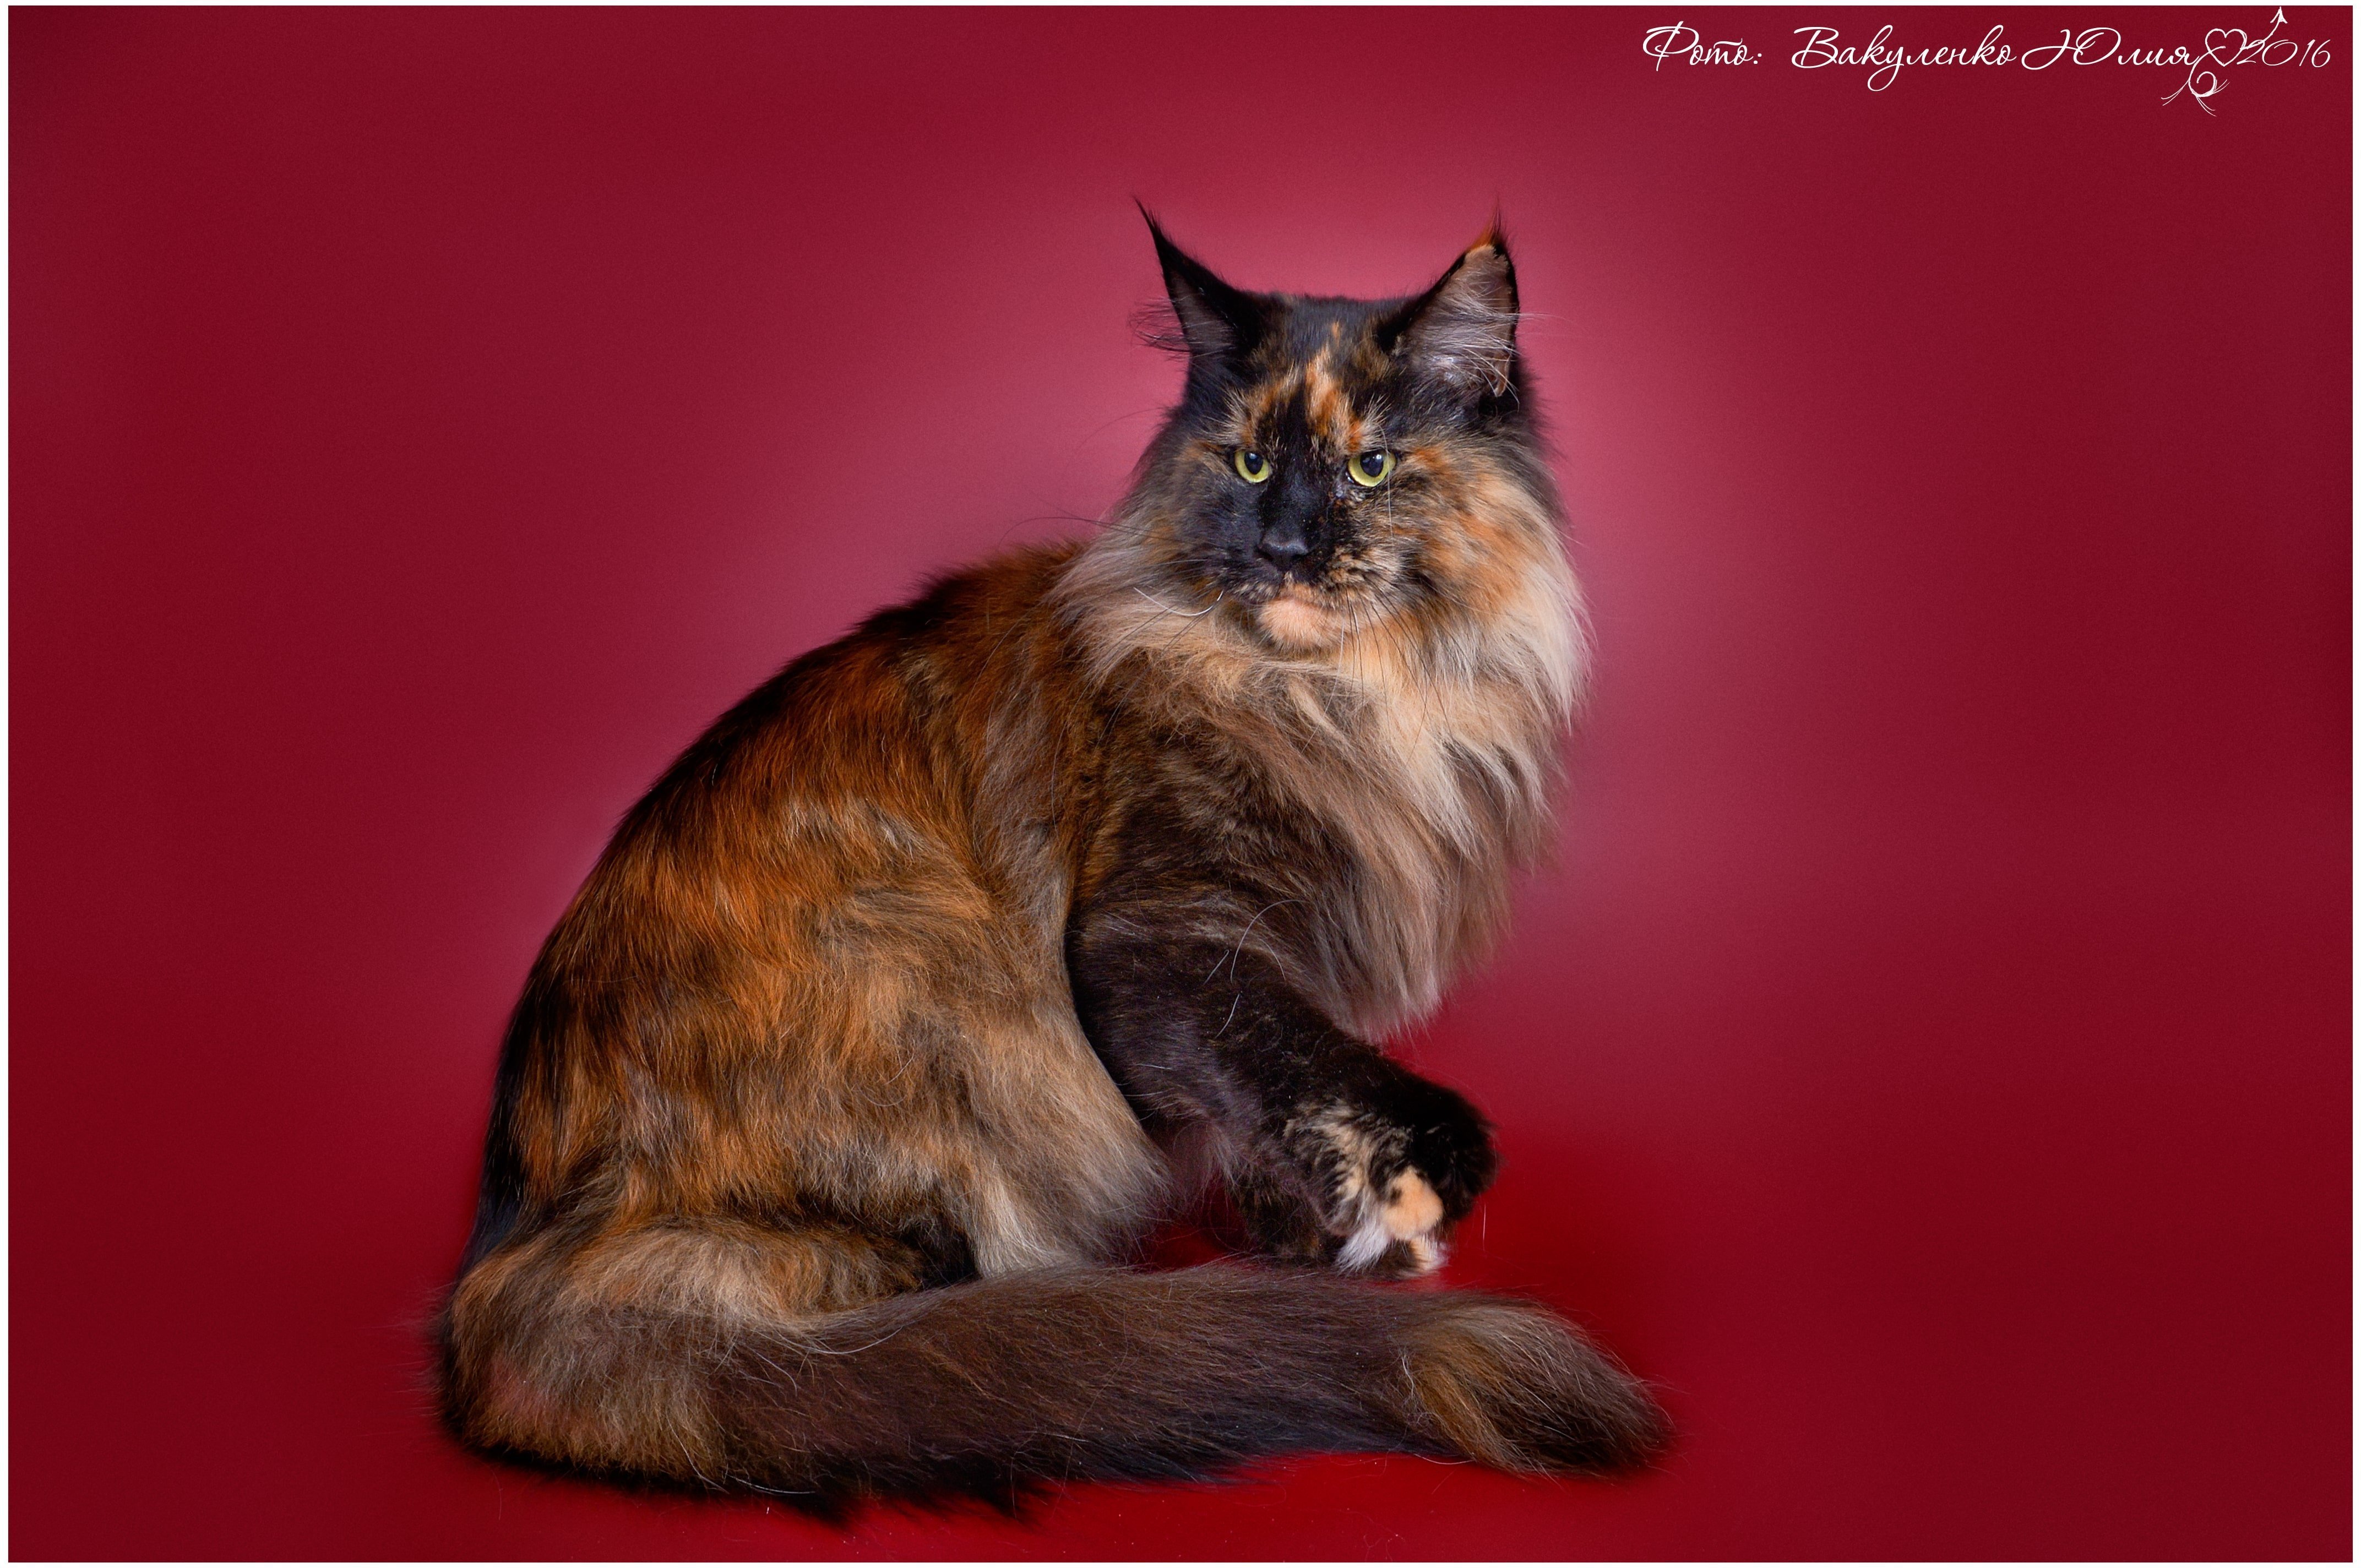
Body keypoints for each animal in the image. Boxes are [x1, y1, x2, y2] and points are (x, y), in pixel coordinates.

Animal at [438, 213, 1668, 1509]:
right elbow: (1284, 1052)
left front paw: (1319, 1230)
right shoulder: (1160, 936)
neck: (1344, 701)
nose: (1284, 544)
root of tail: (504, 1263)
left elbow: (1259, 1100)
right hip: (926, 976)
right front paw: (1405, 1189)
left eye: (1370, 468)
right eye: (1245, 466)